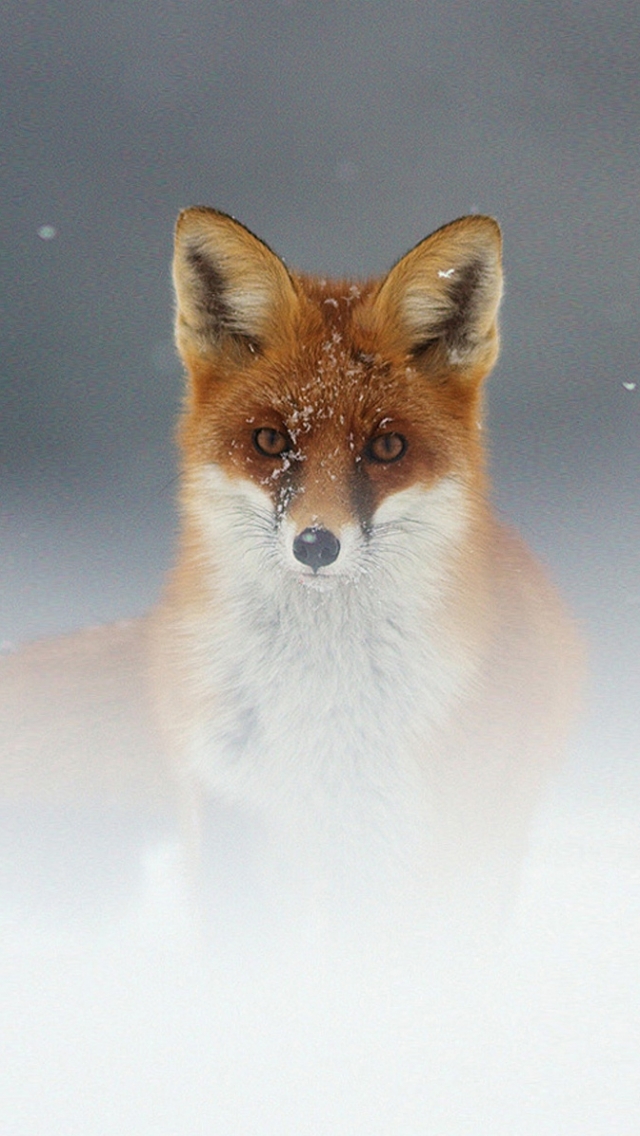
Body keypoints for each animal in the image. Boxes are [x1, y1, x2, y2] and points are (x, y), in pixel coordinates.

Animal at [0, 209, 582, 926]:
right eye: (271, 440)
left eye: (387, 447)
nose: (316, 544)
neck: (319, 706)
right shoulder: (232, 812)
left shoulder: (403, 851)